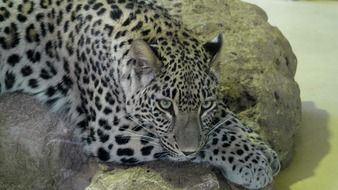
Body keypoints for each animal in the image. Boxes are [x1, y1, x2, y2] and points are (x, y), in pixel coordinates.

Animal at [0, 0, 280, 189]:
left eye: (206, 105)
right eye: (165, 105)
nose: (188, 152)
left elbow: (221, 119)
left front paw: (259, 144)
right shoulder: (110, 132)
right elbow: (205, 139)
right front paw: (252, 160)